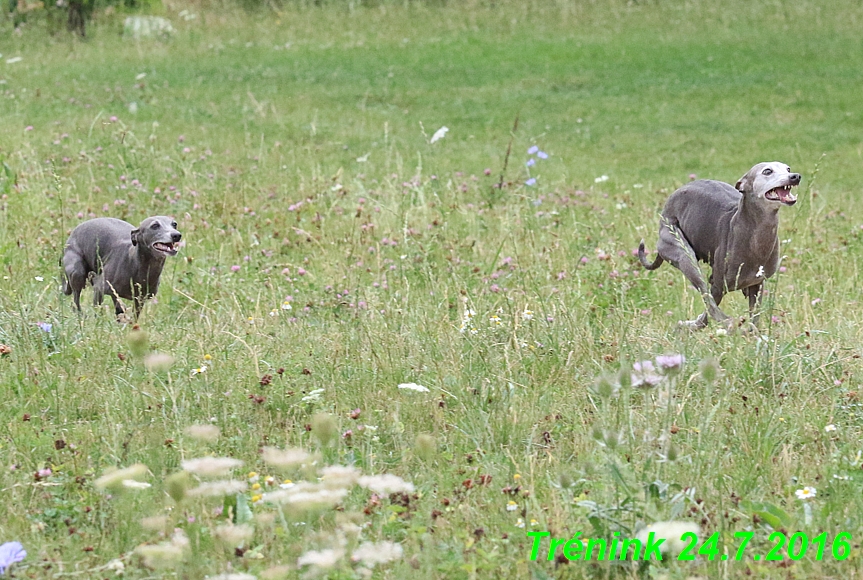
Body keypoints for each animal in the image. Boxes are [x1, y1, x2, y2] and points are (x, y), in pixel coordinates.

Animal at [636, 161, 800, 330]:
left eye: (788, 168)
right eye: (767, 171)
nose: (795, 176)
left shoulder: (757, 285)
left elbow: (754, 319)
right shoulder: (718, 286)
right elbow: (709, 310)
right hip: (681, 251)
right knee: (706, 297)